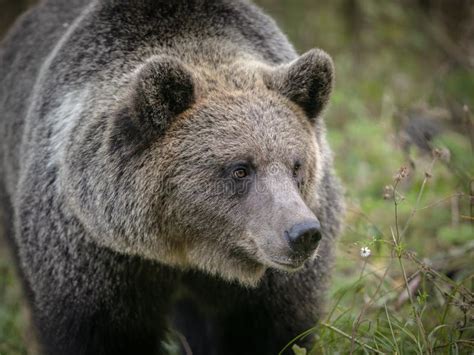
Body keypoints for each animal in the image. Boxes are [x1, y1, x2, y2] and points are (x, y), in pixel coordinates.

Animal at [0, 0, 344, 355]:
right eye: (240, 168)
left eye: (296, 165)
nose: (302, 233)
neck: (186, 248)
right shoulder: (94, 253)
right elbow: (97, 332)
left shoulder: (275, 282)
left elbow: (274, 329)